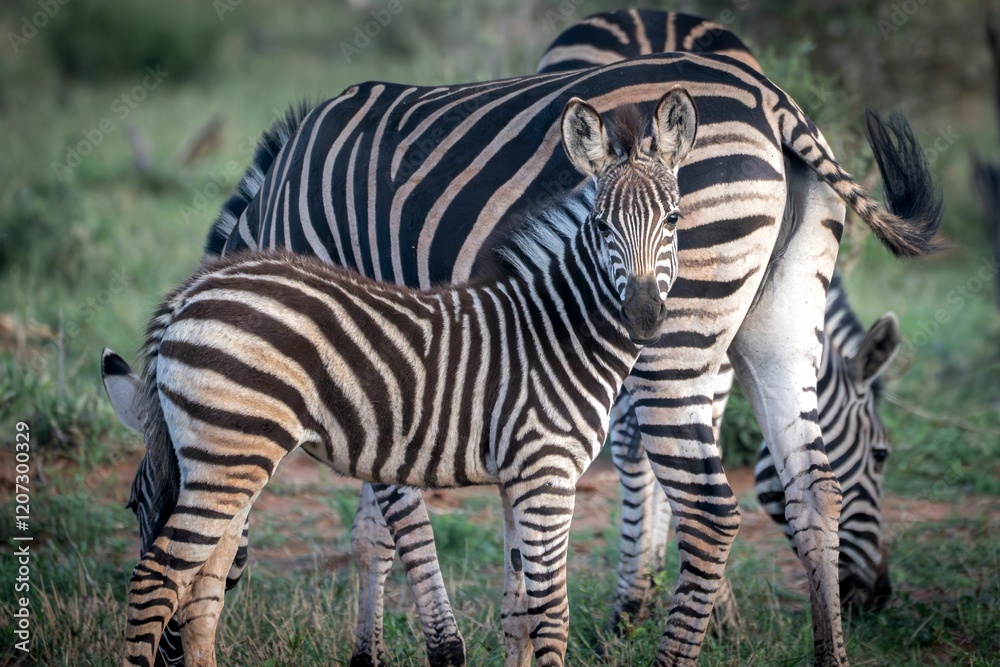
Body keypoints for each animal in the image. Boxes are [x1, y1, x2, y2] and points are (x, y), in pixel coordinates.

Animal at [106, 90, 698, 667]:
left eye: (673, 220)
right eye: (602, 226)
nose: (644, 316)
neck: (556, 325)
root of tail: (191, 292)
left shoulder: (518, 478)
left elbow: (522, 618)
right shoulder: (546, 474)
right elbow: (552, 616)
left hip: (225, 460)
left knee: (201, 585)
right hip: (228, 456)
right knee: (158, 580)